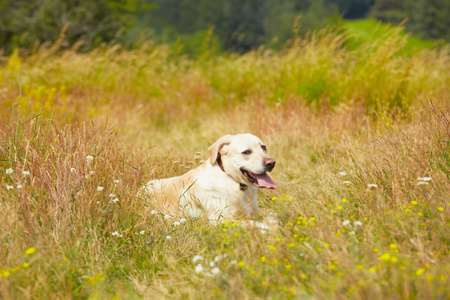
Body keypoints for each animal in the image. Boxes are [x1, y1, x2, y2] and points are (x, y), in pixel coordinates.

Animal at [144, 132, 276, 221]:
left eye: (263, 147)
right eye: (246, 152)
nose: (271, 163)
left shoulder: (257, 212)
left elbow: (275, 217)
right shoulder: (223, 220)